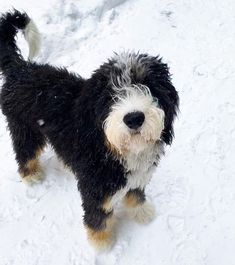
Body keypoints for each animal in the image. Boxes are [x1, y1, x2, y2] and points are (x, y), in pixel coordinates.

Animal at [0, 9, 178, 250]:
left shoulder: (137, 176)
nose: (134, 118)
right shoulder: (96, 189)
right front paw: (102, 245)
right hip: (25, 128)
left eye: (149, 86)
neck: (113, 146)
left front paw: (142, 212)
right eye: (111, 96)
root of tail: (20, 68)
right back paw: (31, 176)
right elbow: (98, 217)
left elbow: (136, 193)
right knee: (25, 153)